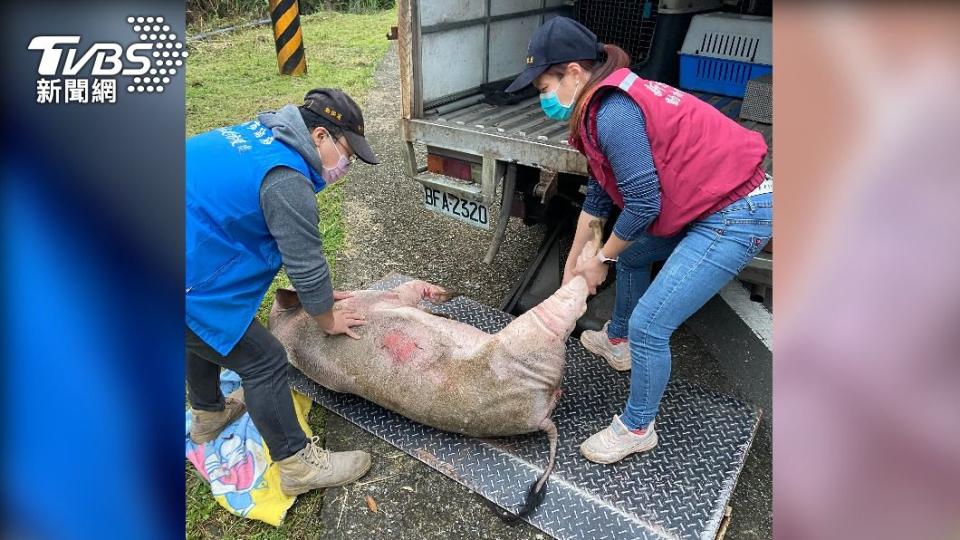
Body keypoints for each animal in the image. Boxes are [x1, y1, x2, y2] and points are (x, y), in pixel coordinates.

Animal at [266, 276, 588, 516]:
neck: (292, 331)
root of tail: (541, 417)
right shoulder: (386, 298)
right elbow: (413, 289)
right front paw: (450, 297)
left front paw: (447, 305)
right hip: (527, 347)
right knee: (552, 317)